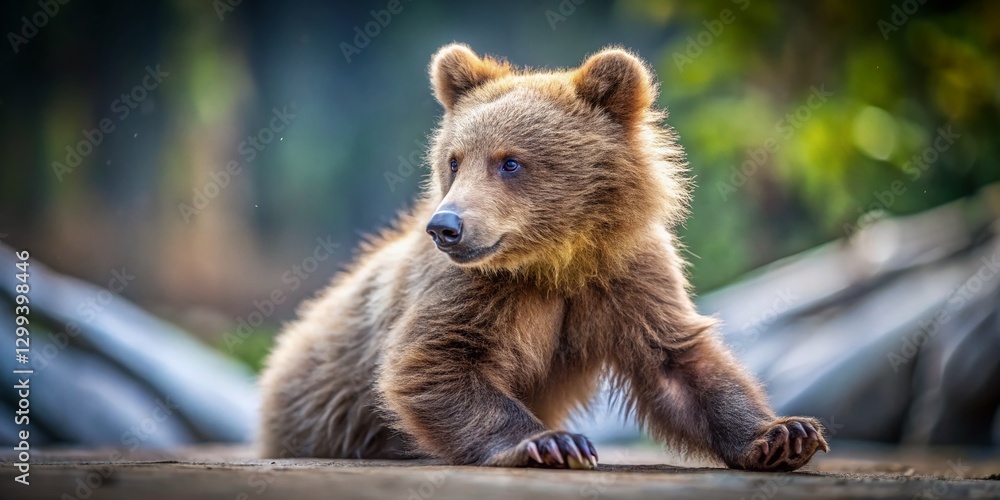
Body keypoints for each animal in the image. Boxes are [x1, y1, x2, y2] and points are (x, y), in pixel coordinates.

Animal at [258, 43, 829, 472]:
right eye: (454, 160)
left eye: (510, 162)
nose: (446, 228)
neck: (556, 259)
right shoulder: (475, 288)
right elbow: (433, 360)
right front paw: (552, 442)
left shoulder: (629, 274)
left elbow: (679, 363)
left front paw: (784, 433)